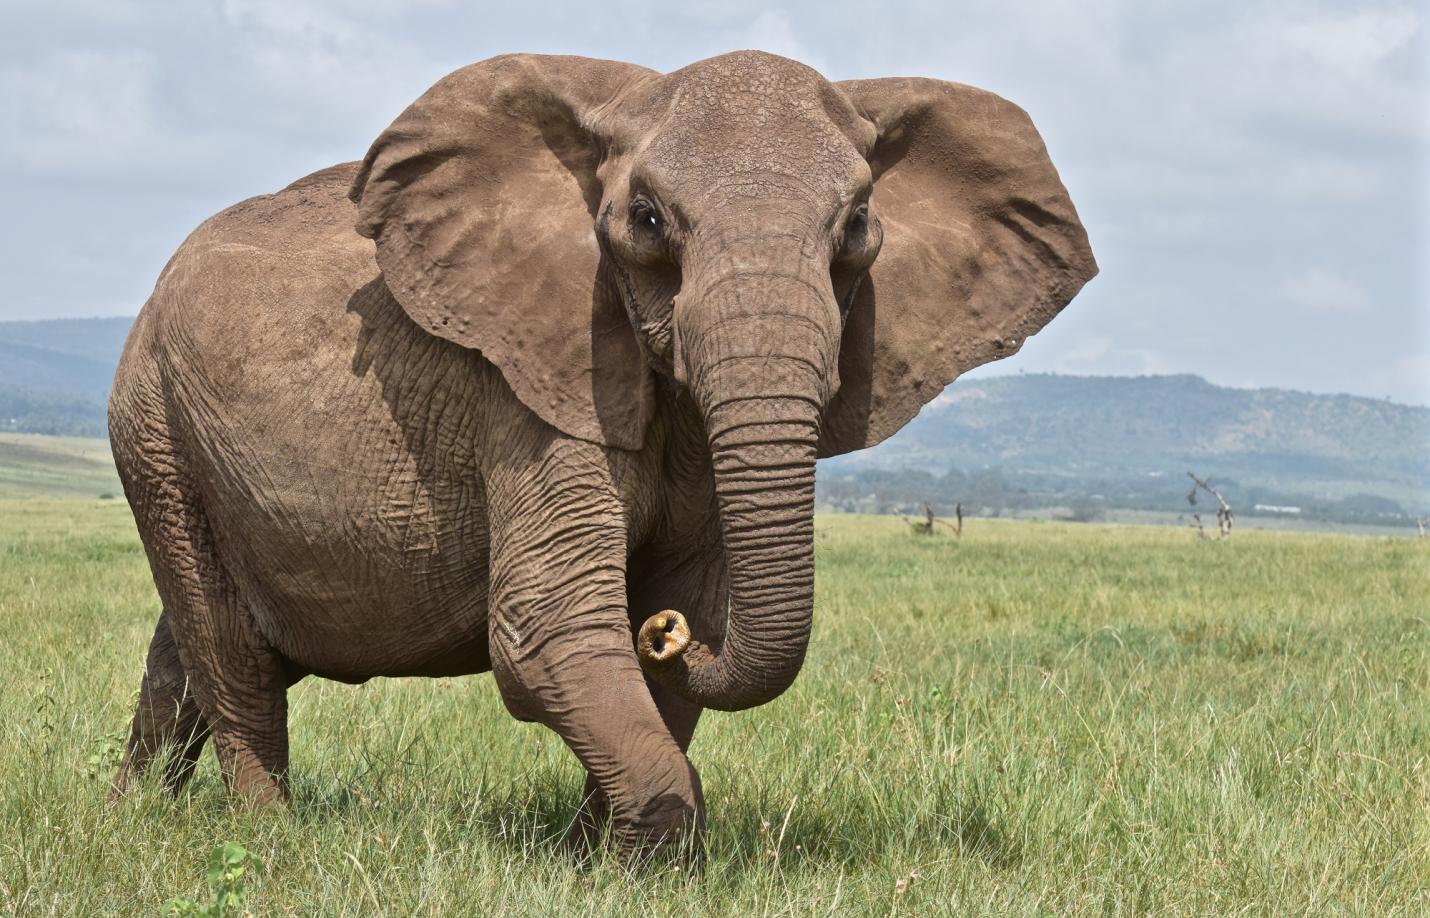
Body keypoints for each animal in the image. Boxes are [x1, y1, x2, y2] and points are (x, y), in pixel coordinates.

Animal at [108, 50, 1095, 858]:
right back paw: (268, 839)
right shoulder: (535, 385)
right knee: (231, 656)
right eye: (648, 220)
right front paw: (649, 853)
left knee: (183, 657)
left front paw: (599, 859)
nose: (665, 635)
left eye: (856, 225)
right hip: (155, 427)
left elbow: (681, 617)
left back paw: (134, 814)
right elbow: (547, 623)